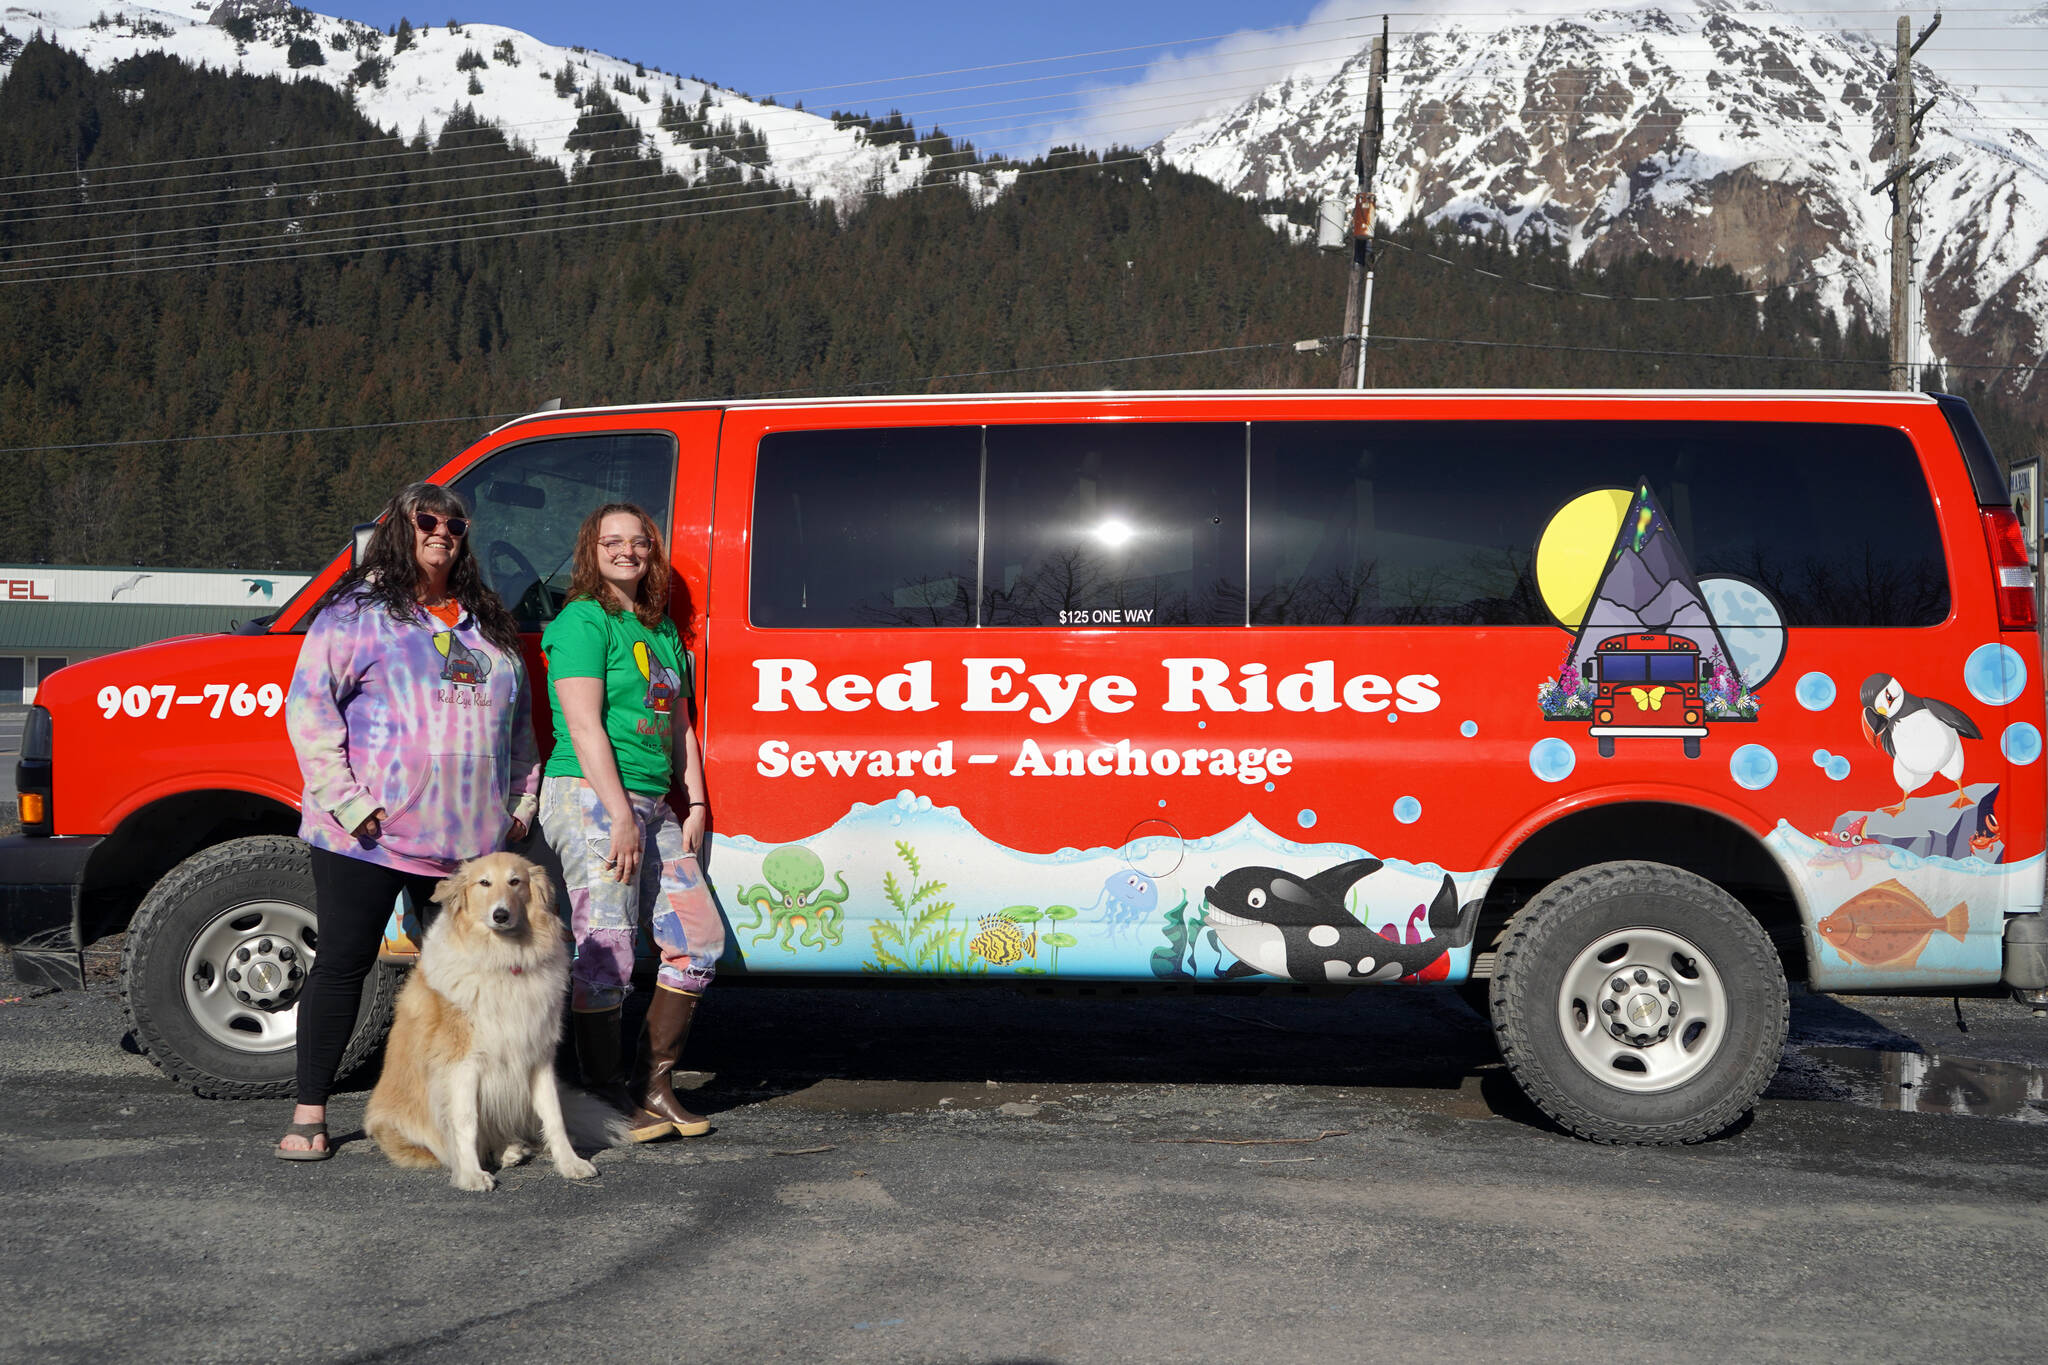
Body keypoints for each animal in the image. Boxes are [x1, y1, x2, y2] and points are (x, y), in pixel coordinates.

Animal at [364, 847, 622, 1186]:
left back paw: (511, 1150)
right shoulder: (462, 1063)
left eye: (515, 881)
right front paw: (471, 1175)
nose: (500, 915)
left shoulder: (537, 1056)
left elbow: (554, 1115)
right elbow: (466, 1121)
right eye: (484, 883)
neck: (503, 960)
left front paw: (570, 1163)